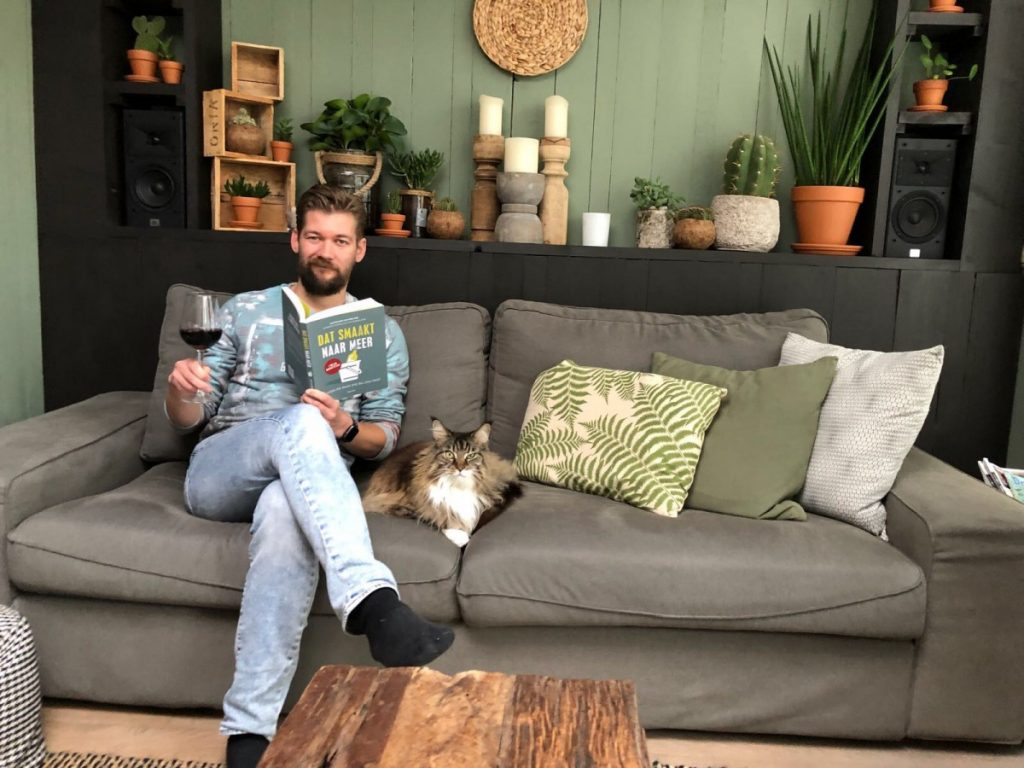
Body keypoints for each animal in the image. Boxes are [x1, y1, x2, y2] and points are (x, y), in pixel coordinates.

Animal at [362, 417, 522, 547]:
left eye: (470, 455)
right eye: (449, 454)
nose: (460, 468)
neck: (458, 487)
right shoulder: (406, 502)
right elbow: (437, 517)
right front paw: (460, 537)